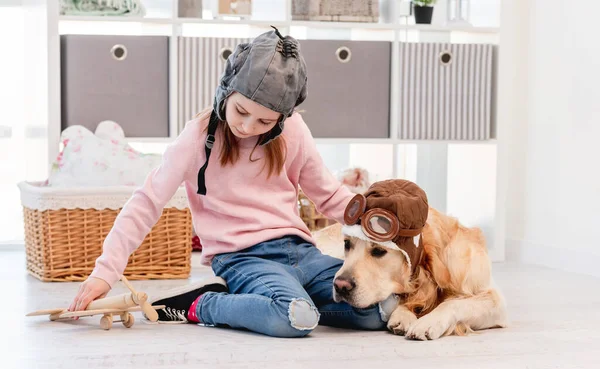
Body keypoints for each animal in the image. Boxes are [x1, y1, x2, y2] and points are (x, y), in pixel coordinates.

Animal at [314, 207, 506, 340]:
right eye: (347, 244)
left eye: (378, 251)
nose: (340, 286)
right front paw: (403, 315)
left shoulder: (495, 300)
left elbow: (453, 303)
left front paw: (428, 322)